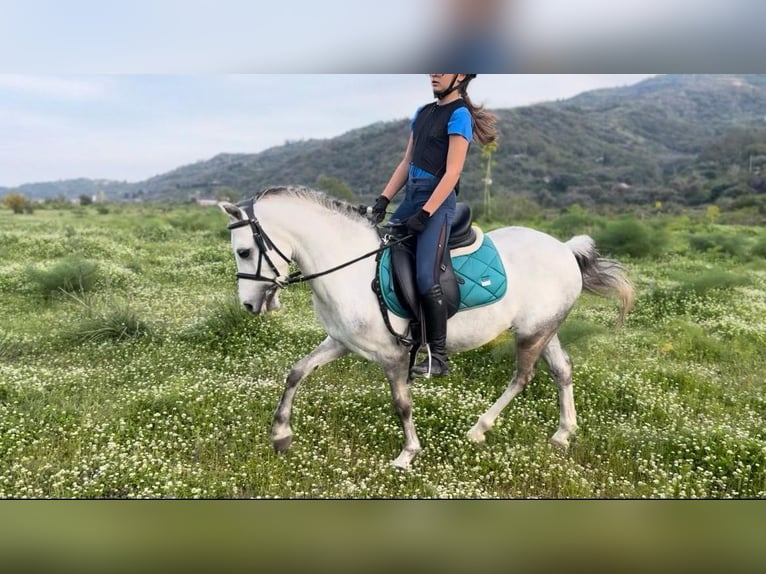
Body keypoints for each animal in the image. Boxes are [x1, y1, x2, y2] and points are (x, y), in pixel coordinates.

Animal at [219, 186, 635, 469]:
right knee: (562, 370)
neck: (352, 268)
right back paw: (563, 434)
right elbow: (296, 373)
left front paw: (407, 454)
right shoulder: (340, 341)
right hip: (544, 329)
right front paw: (281, 434)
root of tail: (565, 249)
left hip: (532, 333)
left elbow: (401, 404)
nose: (250, 305)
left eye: (244, 251)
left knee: (523, 377)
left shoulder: (391, 355)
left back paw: (479, 428)